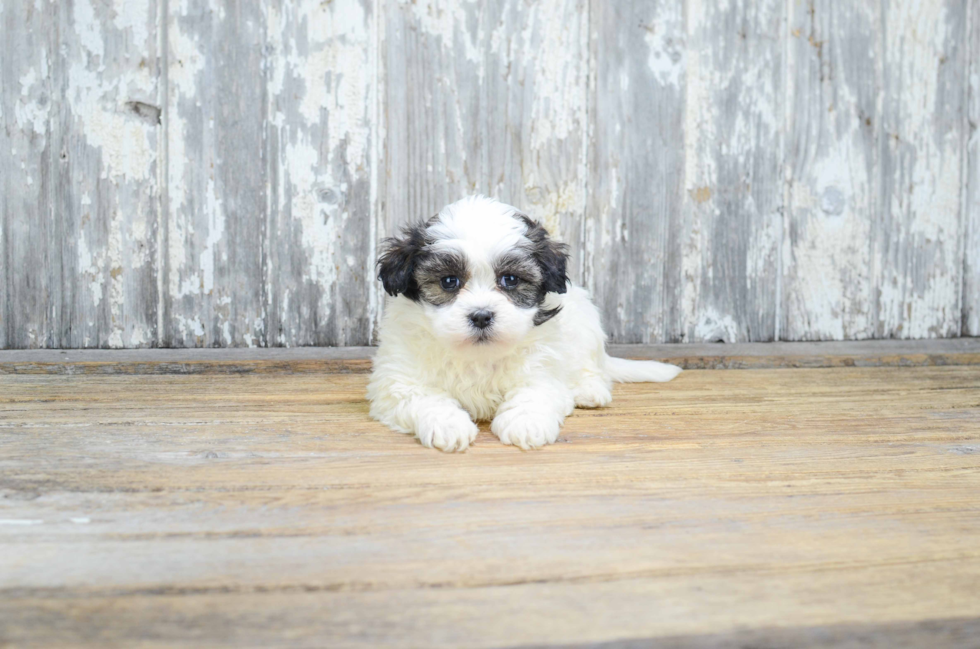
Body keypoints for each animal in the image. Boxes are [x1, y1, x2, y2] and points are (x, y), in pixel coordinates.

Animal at [368, 196, 680, 450]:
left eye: (510, 279)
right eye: (448, 281)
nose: (481, 315)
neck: (477, 355)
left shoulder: (543, 368)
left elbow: (535, 392)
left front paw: (525, 423)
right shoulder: (400, 381)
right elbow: (424, 398)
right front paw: (448, 424)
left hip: (586, 322)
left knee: (591, 366)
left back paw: (588, 390)